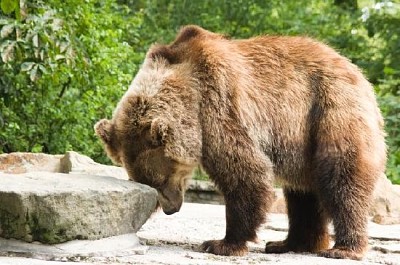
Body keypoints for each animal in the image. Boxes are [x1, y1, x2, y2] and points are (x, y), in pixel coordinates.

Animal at [95, 25, 386, 258]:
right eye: (146, 182)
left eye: (162, 178)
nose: (171, 209)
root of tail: (357, 73)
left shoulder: (218, 102)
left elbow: (245, 171)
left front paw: (222, 243)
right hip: (303, 141)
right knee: (303, 193)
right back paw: (288, 243)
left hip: (330, 110)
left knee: (342, 177)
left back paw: (343, 248)